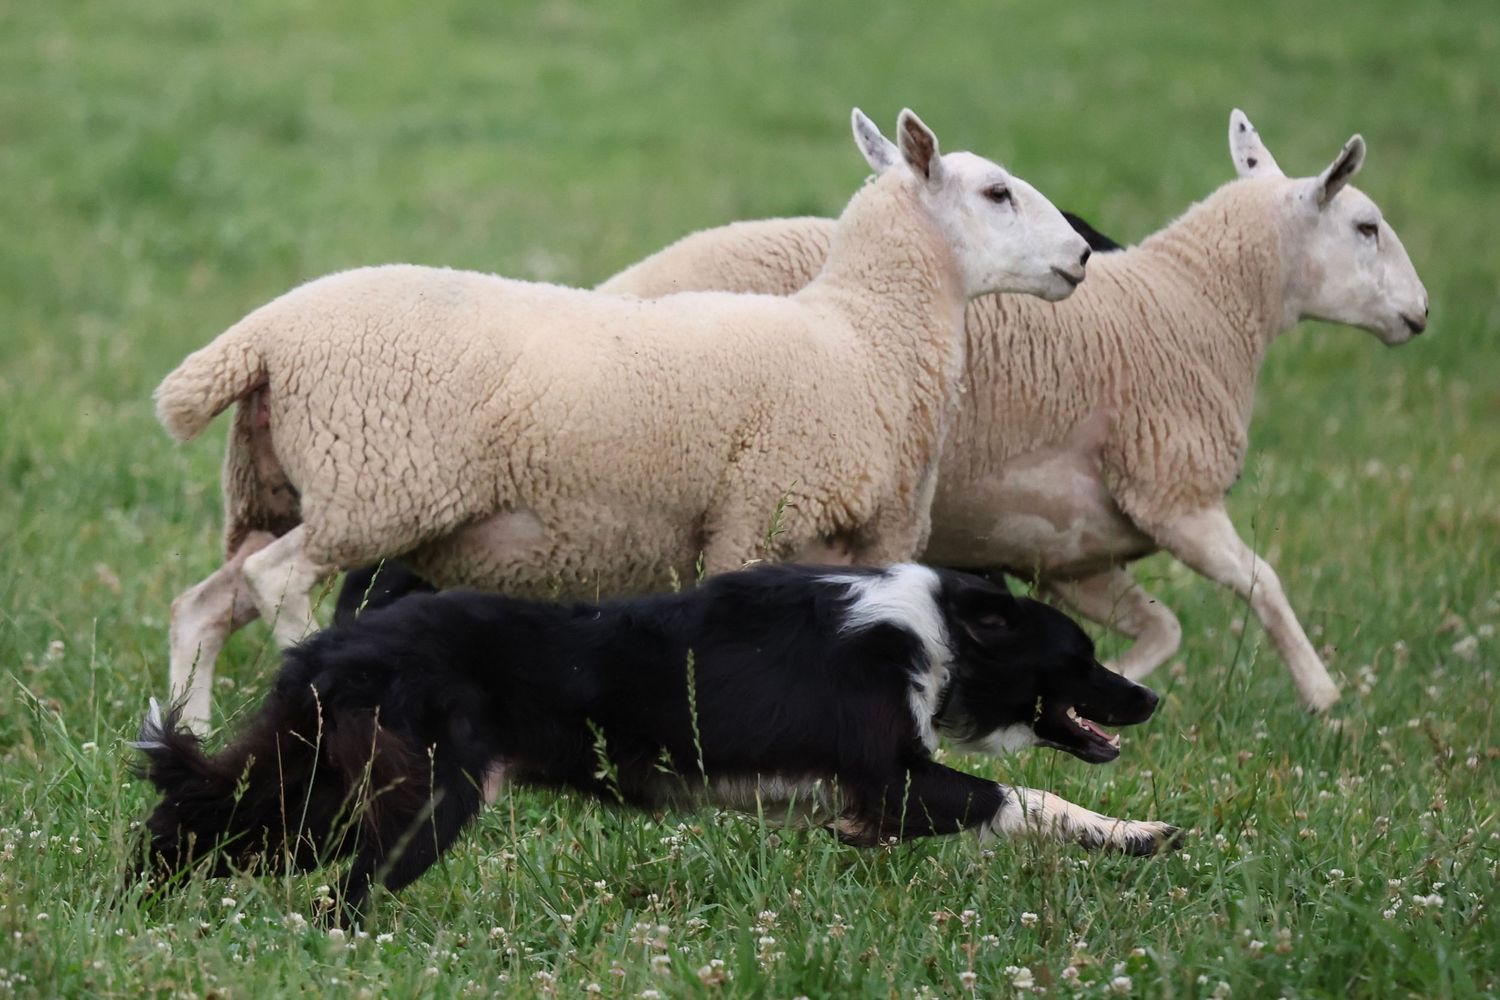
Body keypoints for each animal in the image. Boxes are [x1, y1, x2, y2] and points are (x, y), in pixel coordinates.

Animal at [157, 108, 1093, 731]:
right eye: (998, 192)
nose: (1082, 255)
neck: (864, 335)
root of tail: (264, 334)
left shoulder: (864, 546)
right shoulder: (756, 515)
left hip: (281, 489)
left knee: (204, 602)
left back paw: (189, 731)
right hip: (374, 487)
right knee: (275, 579)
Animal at [592, 110, 1427, 711]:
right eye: (1367, 227)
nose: (1421, 312)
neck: (1197, 302)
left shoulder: (1069, 551)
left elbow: (1163, 625)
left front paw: (1111, 682)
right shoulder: (1174, 491)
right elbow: (1263, 585)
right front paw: (1326, 701)